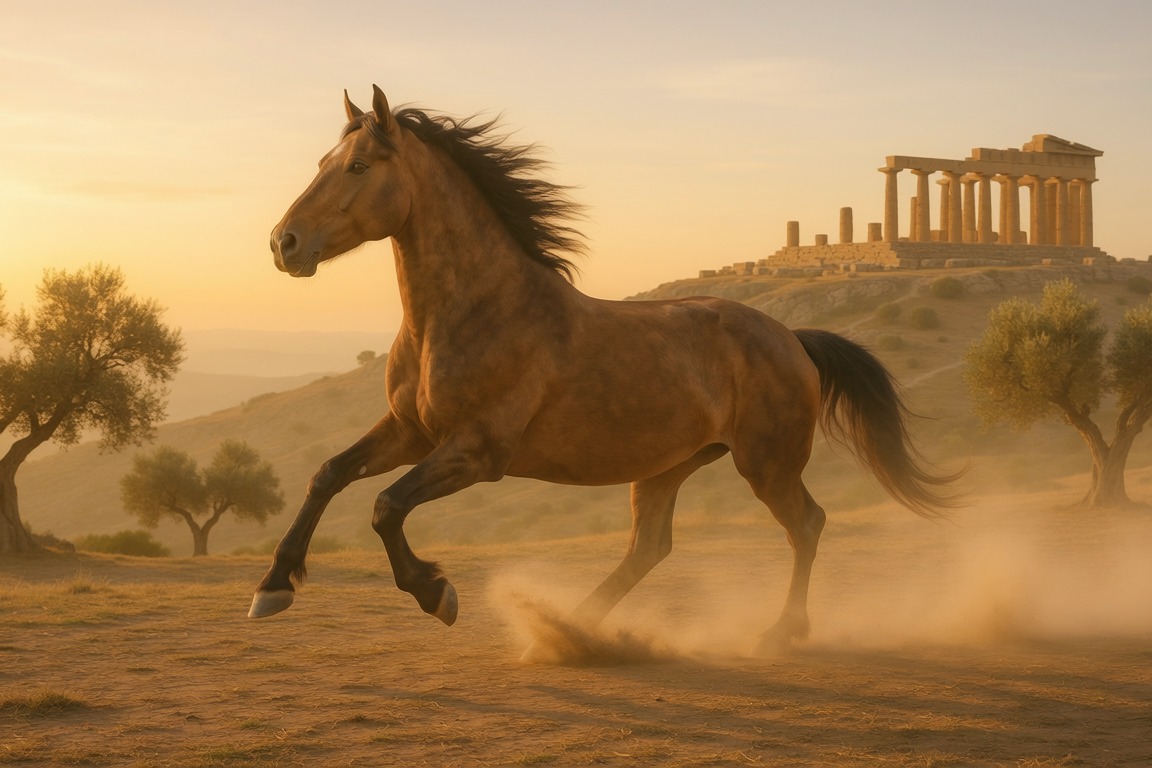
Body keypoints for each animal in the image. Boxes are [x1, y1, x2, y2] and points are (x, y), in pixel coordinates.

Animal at [249, 85, 959, 654]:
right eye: (322, 164)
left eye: (358, 166)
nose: (284, 244)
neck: (473, 311)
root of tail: (791, 338)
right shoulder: (409, 431)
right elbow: (327, 474)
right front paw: (272, 587)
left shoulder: (476, 452)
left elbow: (385, 505)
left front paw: (436, 593)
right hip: (668, 466)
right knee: (650, 547)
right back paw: (574, 626)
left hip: (767, 463)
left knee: (805, 525)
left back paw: (779, 632)